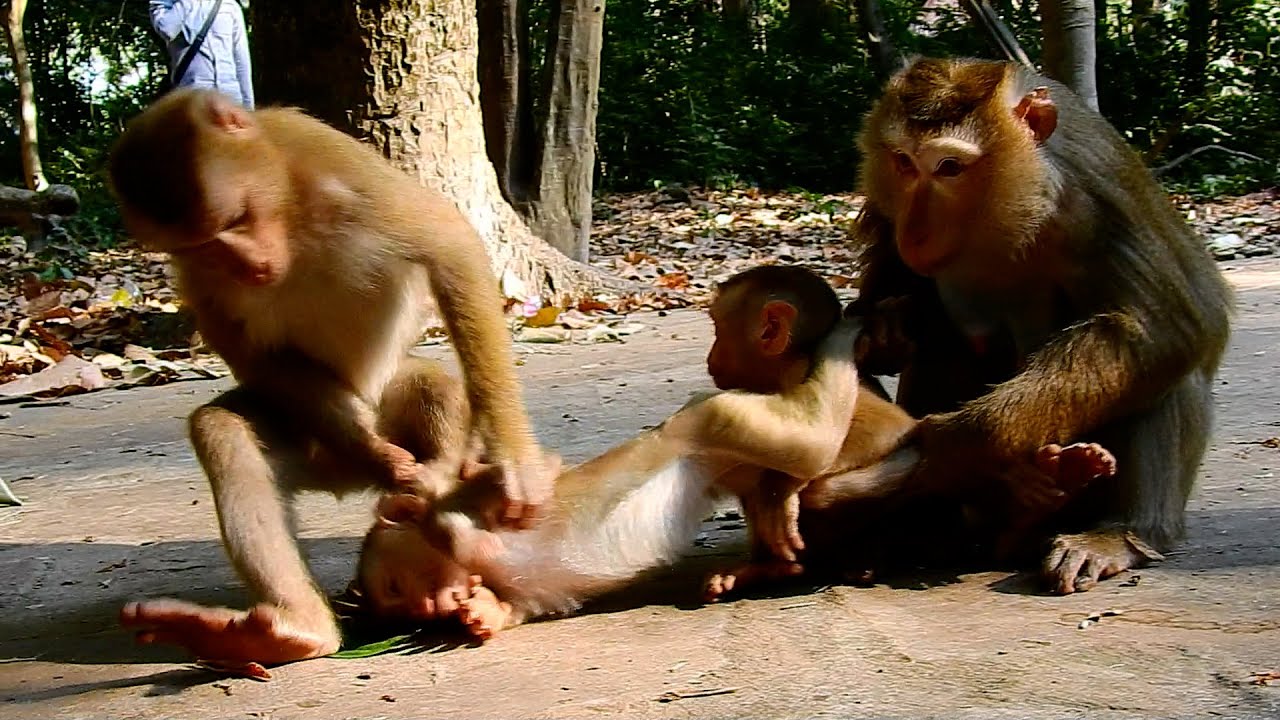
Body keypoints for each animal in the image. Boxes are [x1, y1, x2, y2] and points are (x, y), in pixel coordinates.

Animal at [106, 88, 557, 665]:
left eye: (238, 219)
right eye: (203, 245)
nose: (251, 267)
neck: (287, 209)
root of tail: (341, 480)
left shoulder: (329, 159)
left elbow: (448, 246)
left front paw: (514, 463)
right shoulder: (194, 275)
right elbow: (258, 360)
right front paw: (382, 459)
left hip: (385, 399)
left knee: (430, 385)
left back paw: (435, 472)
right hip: (313, 446)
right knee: (226, 430)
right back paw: (292, 629)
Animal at [846, 57, 1234, 595]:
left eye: (949, 167)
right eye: (904, 162)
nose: (917, 232)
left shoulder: (1093, 191)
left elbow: (1170, 326)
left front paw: (961, 444)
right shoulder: (889, 203)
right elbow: (893, 281)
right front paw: (883, 327)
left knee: (1162, 369)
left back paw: (1111, 528)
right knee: (944, 333)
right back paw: (928, 529)